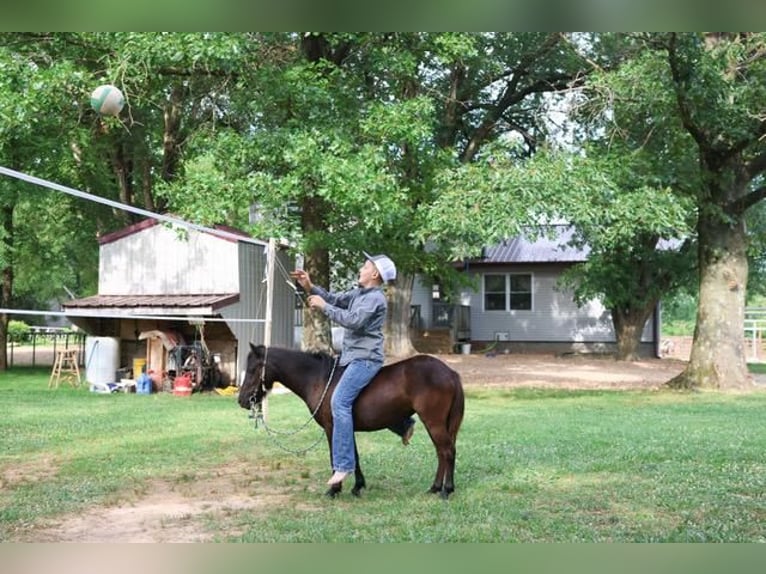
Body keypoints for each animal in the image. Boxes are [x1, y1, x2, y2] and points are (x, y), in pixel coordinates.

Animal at [237, 346, 464, 500]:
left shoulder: (333, 428)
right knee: (441, 452)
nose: (242, 400)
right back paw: (435, 487)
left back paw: (446, 490)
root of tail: (450, 373)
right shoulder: (347, 426)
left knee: (447, 451)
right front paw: (357, 486)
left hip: (433, 421)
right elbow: (353, 456)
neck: (319, 379)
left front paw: (334, 489)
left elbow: (336, 457)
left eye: (254, 369)